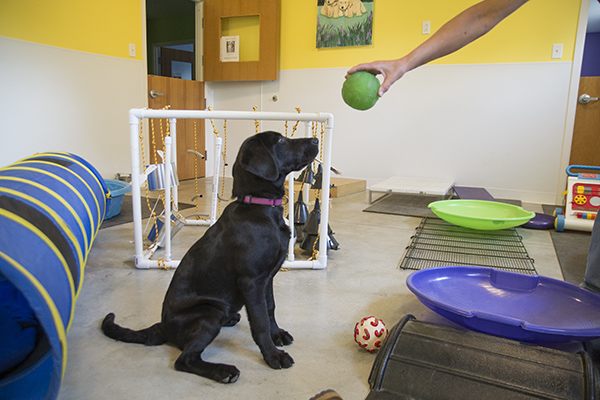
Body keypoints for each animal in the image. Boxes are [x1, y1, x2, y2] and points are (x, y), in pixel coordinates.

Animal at [101, 130, 322, 382]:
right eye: (281, 141)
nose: (315, 140)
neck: (259, 207)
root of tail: (163, 326)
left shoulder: (267, 278)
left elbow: (270, 309)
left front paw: (278, 335)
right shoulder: (252, 281)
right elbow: (260, 322)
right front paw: (273, 355)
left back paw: (232, 320)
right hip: (210, 313)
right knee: (184, 360)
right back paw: (223, 371)